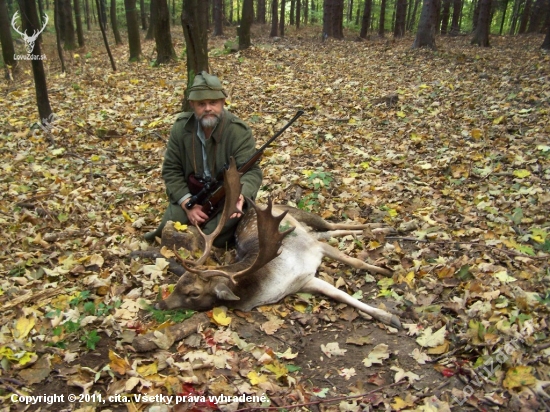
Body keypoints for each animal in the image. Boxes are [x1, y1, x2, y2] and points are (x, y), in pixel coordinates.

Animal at [155, 158, 402, 328]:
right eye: (178, 283)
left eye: (194, 293)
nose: (160, 305)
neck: (274, 283)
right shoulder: (305, 280)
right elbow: (340, 295)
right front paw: (390, 317)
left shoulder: (314, 251)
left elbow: (356, 263)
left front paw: (388, 273)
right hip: (310, 233)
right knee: (330, 232)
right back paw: (381, 229)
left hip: (302, 217)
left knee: (331, 226)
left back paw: (384, 227)